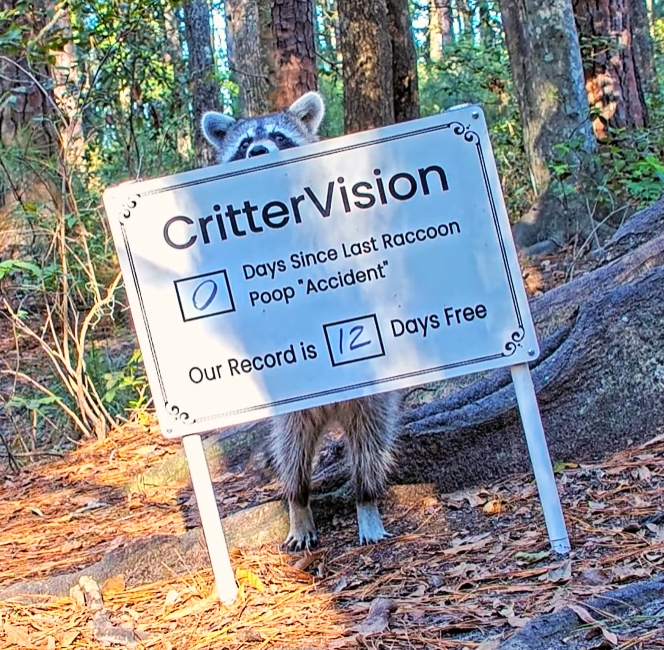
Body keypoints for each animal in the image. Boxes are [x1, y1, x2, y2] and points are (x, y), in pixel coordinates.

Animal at [202, 92, 402, 550]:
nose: (258, 152)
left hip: (372, 399)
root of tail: (330, 413)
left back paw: (366, 500)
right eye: (244, 144)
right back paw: (298, 505)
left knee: (370, 447)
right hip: (291, 415)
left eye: (279, 137)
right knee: (291, 457)